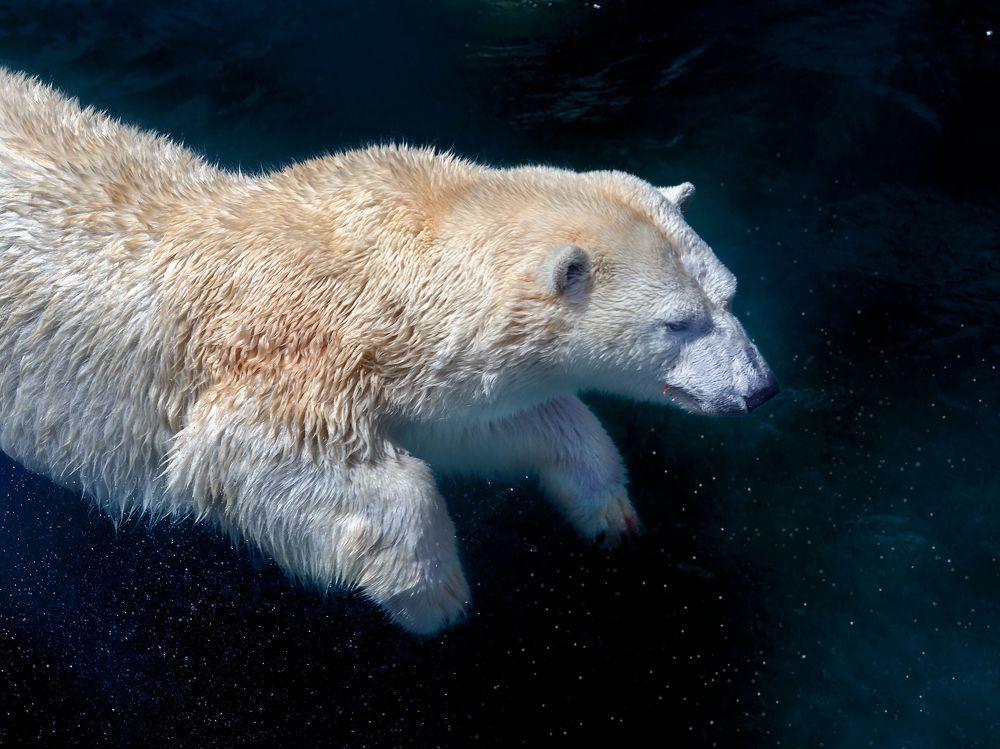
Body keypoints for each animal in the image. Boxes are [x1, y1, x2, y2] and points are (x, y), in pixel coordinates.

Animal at [0, 69, 777, 634]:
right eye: (677, 323)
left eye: (730, 294)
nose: (760, 388)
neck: (376, 267)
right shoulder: (285, 354)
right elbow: (242, 452)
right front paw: (436, 596)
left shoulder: (424, 373)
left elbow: (493, 420)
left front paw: (607, 507)